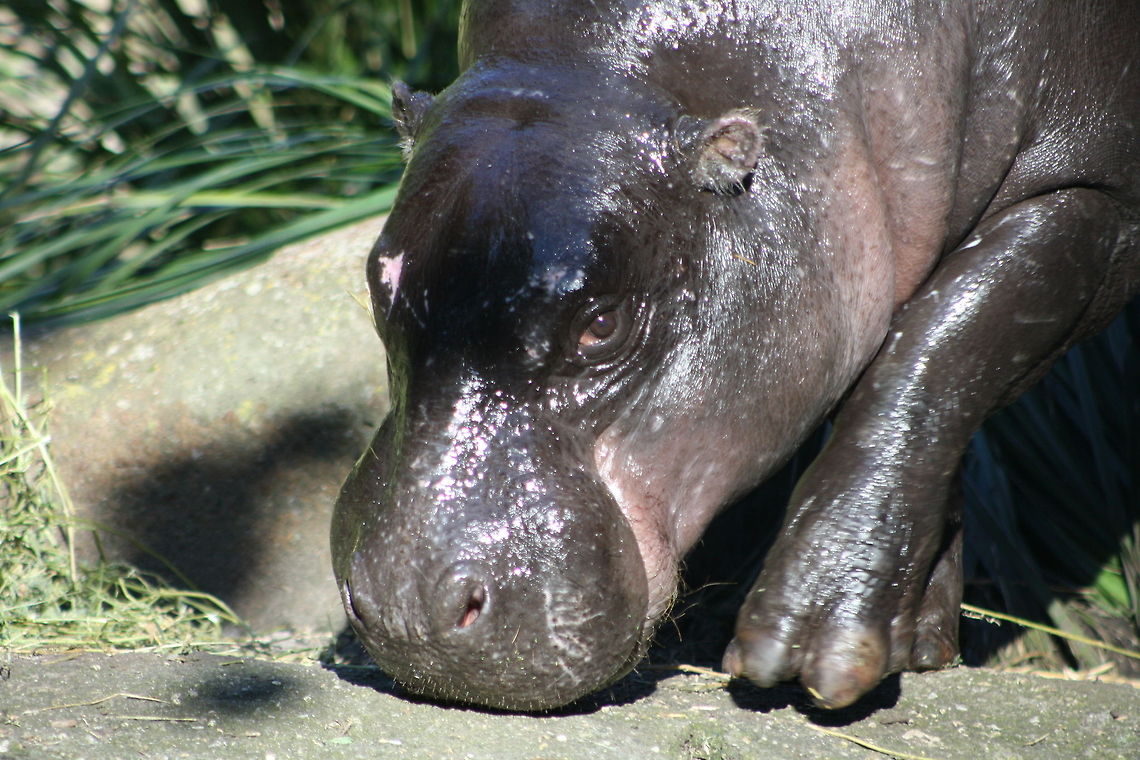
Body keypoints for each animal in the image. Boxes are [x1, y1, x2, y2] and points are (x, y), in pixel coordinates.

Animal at [331, 0, 1140, 711]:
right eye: (377, 280)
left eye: (603, 325)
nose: (409, 604)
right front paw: (916, 642)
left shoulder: (1099, 197)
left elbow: (938, 350)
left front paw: (813, 643)